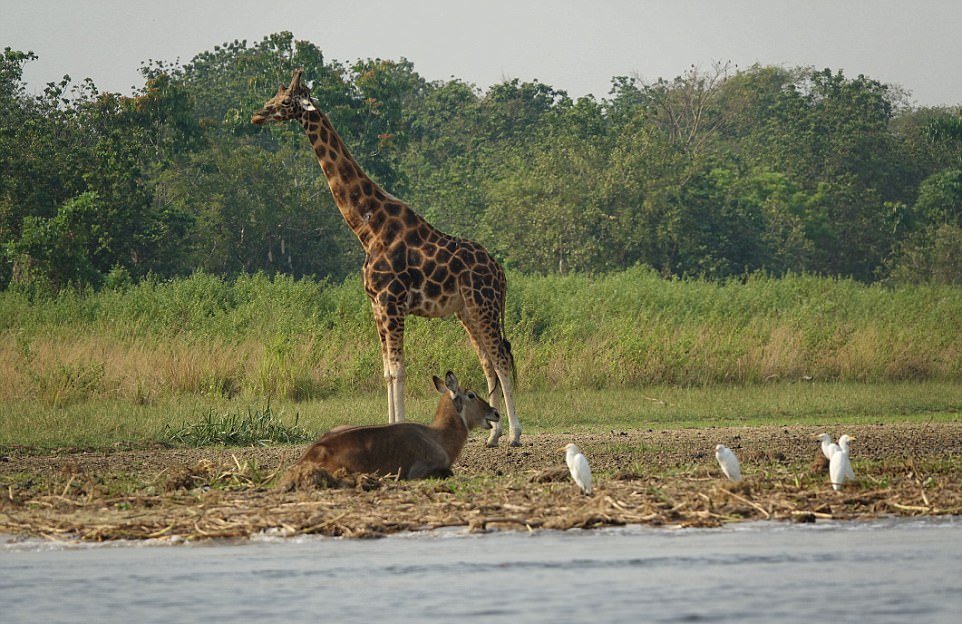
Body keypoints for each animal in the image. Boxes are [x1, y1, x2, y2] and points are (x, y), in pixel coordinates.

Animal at [248, 70, 516, 446]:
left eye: (286, 101)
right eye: (275, 95)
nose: (258, 114)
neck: (368, 228)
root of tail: (500, 271)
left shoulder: (392, 301)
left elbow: (400, 370)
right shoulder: (376, 304)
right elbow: (387, 371)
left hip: (484, 304)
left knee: (502, 359)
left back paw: (515, 434)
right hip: (467, 311)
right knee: (489, 361)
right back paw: (493, 436)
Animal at [280, 372, 496, 486]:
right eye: (471, 395)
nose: (495, 412)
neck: (438, 436)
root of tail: (310, 453)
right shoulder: (420, 471)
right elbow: (449, 472)